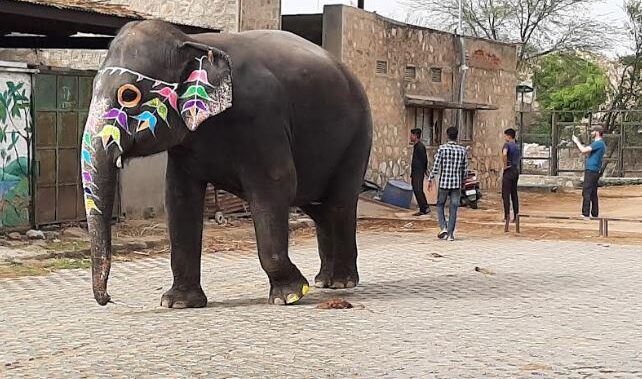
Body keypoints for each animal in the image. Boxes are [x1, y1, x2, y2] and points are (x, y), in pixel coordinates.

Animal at [81, 20, 370, 308]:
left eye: (128, 95)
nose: (108, 299)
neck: (192, 42)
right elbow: (179, 198)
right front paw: (178, 303)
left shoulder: (262, 117)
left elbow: (275, 186)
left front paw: (290, 296)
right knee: (319, 208)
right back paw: (324, 281)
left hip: (358, 139)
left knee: (339, 204)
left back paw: (341, 282)